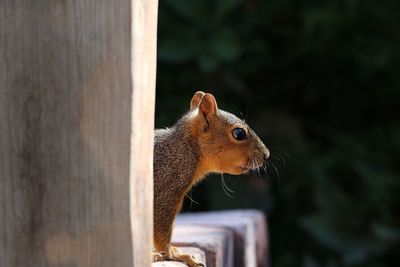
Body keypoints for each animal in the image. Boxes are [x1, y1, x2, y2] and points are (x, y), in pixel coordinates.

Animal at [152, 91, 268, 266]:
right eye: (239, 133)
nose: (266, 154)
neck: (186, 148)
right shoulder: (167, 185)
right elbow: (161, 228)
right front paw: (176, 253)